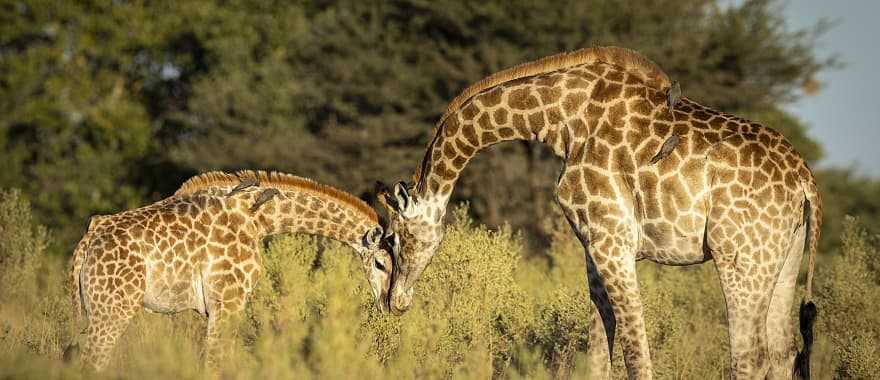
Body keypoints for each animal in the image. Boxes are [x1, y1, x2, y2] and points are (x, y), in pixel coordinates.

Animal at [67, 170, 398, 372]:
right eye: (381, 263)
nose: (390, 305)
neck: (260, 219)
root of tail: (87, 242)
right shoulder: (227, 302)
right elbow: (214, 365)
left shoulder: (220, 308)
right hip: (112, 310)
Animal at [378, 46, 820, 378]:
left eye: (393, 239)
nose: (394, 302)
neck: (559, 120)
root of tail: (804, 179)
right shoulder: (593, 246)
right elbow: (596, 355)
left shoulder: (613, 242)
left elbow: (636, 357)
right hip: (783, 260)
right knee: (783, 354)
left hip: (739, 260)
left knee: (750, 358)